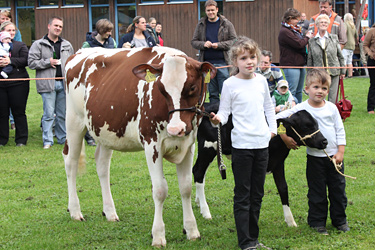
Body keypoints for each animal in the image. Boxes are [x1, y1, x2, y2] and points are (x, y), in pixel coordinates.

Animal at [63, 46, 217, 247]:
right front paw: (158, 235)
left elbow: (186, 187)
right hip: (74, 121)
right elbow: (160, 190)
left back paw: (110, 212)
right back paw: (75, 211)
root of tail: (79, 53)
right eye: (161, 89)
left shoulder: (188, 144)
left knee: (102, 165)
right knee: (71, 162)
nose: (175, 129)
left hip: (106, 130)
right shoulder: (152, 144)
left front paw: (192, 230)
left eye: (192, 87)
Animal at [195, 101, 328, 227]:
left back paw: (198, 202)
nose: (324, 141)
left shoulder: (278, 162)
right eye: (306, 126)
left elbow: (283, 188)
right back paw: (206, 212)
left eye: (317, 124)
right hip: (207, 147)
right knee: (198, 172)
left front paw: (290, 221)